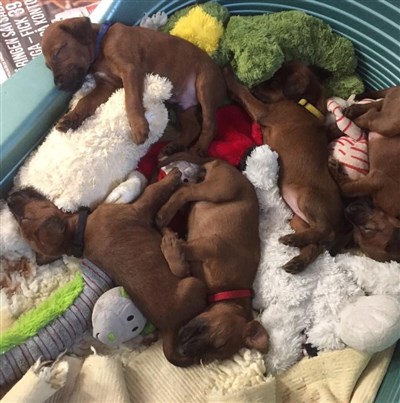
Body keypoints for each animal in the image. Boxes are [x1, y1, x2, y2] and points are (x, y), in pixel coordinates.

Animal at [6, 171, 208, 367]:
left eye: (21, 219)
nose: (9, 197)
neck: (77, 235)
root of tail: (168, 330)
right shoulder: (137, 208)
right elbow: (154, 190)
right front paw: (172, 175)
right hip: (194, 284)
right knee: (189, 274)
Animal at [41, 17, 226, 154]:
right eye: (48, 67)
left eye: (58, 52)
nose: (58, 86)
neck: (100, 48)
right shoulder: (106, 85)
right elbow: (85, 101)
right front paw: (70, 119)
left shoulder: (130, 70)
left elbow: (130, 100)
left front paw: (138, 127)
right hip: (183, 106)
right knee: (193, 127)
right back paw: (174, 146)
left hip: (204, 85)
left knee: (210, 124)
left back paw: (200, 148)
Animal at [156, 154, 269, 363]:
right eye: (220, 342)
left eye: (211, 357)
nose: (183, 350)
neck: (229, 289)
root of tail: (219, 161)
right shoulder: (212, 245)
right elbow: (181, 263)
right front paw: (171, 244)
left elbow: (182, 268)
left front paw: (171, 240)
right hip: (220, 189)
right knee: (187, 190)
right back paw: (163, 214)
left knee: (185, 192)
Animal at [223, 62, 347, 273]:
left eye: (273, 81)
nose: (256, 84)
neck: (304, 103)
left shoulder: (264, 111)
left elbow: (244, 93)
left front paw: (229, 74)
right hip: (299, 219)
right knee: (315, 246)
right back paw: (296, 259)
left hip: (308, 198)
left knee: (327, 231)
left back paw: (291, 240)